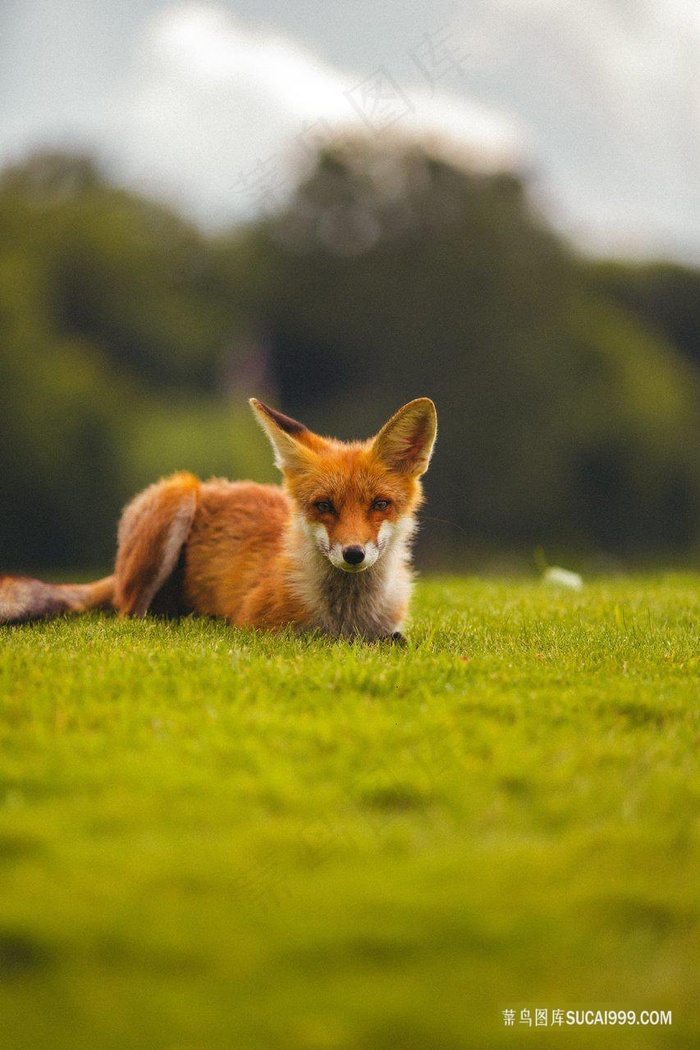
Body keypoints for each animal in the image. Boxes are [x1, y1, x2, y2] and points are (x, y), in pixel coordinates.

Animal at [0, 394, 434, 634]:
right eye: (324, 506)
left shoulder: (388, 630)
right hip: (175, 499)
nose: (353, 554)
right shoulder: (259, 625)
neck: (347, 620)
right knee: (127, 616)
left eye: (380, 504)